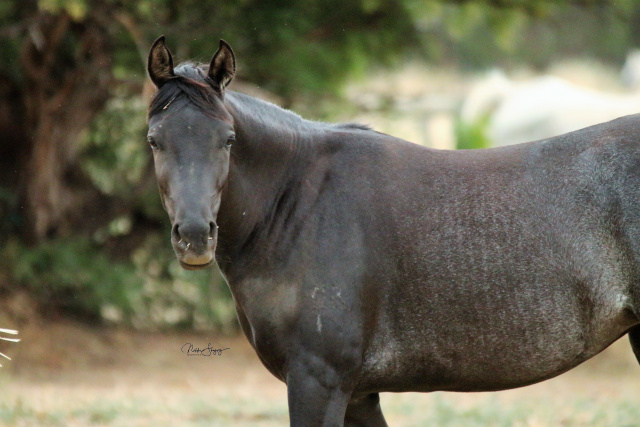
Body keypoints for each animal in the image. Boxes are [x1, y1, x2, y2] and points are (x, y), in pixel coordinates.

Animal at [146, 35, 640, 426]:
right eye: (154, 140)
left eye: (228, 140)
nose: (195, 237)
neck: (299, 205)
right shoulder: (358, 394)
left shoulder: (318, 381)